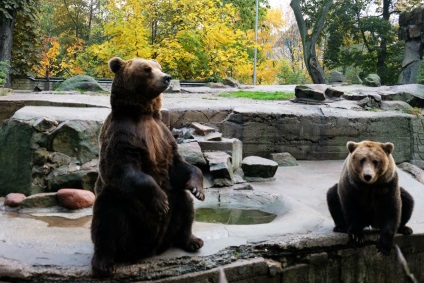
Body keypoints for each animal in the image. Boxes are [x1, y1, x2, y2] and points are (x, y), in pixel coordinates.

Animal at [92, 57, 206, 278]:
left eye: (159, 67)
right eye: (146, 69)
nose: (166, 77)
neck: (144, 114)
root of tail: (150, 250)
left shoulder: (163, 135)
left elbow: (179, 165)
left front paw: (198, 189)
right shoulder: (122, 135)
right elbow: (123, 169)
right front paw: (160, 201)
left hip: (173, 211)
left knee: (185, 205)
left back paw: (192, 240)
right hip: (122, 208)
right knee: (106, 219)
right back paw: (103, 263)